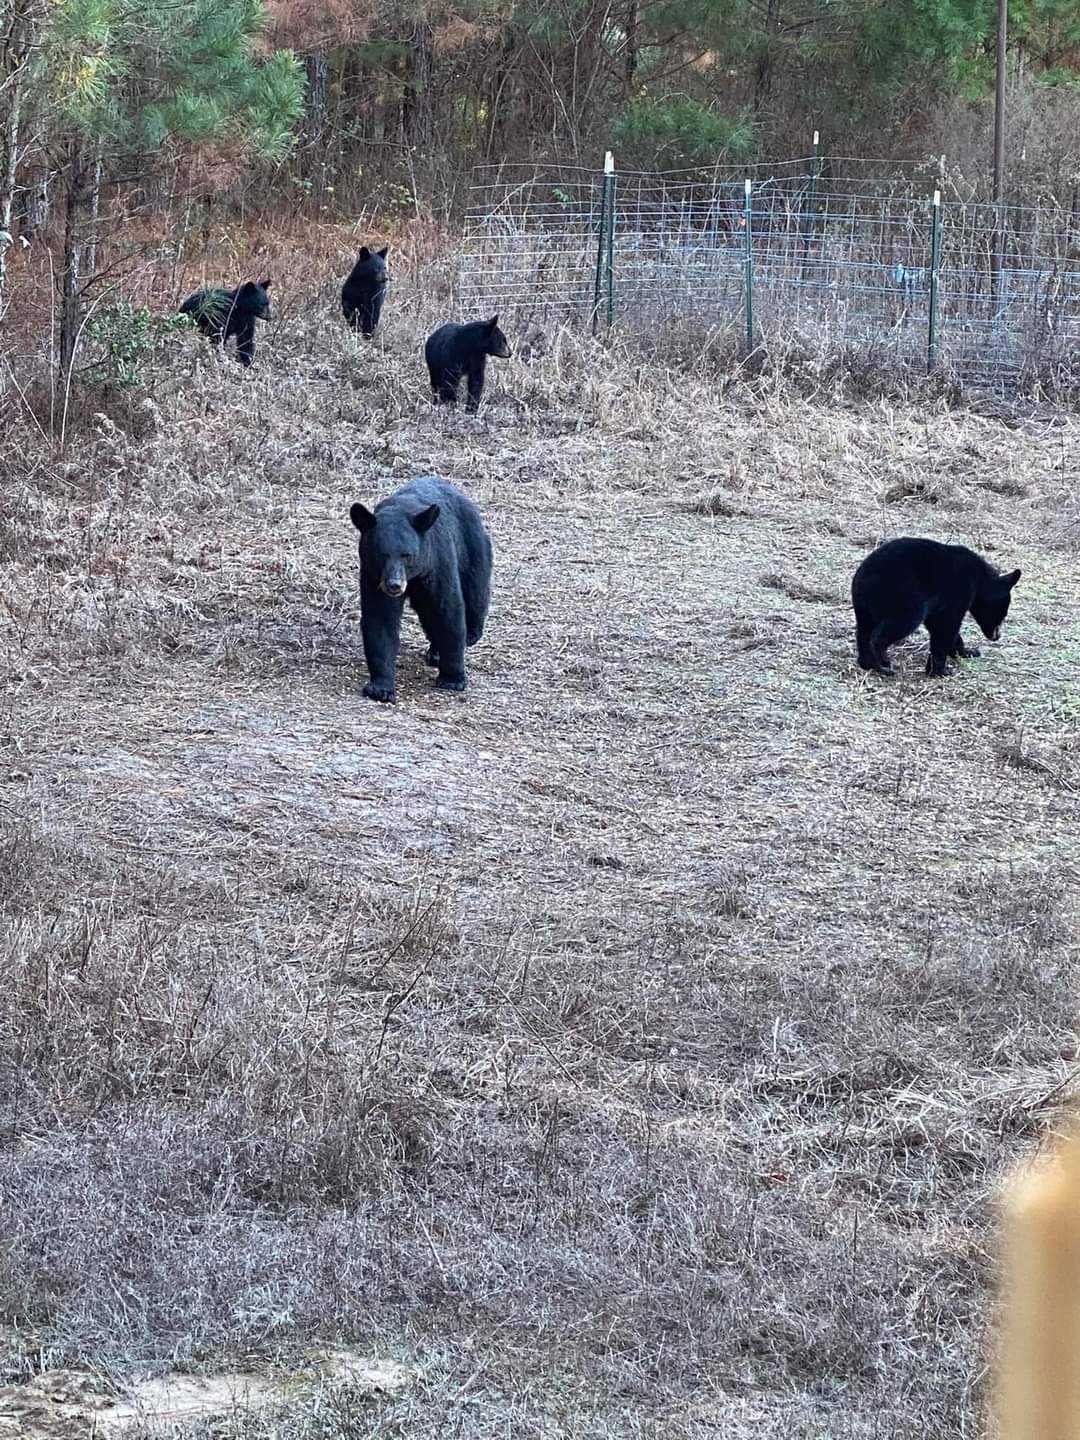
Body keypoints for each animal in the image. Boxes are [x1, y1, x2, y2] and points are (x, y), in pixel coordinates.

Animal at [349, 476, 493, 703]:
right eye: (381, 554)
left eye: (407, 555)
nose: (394, 585)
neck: (414, 575)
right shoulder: (373, 575)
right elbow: (380, 619)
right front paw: (380, 688)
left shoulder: (438, 561)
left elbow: (447, 610)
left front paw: (452, 679)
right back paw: (435, 651)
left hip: (473, 547)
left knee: (475, 593)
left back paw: (468, 636)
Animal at [851, 537, 1021, 678]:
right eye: (1002, 614)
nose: (997, 636)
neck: (979, 580)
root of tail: (863, 580)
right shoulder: (958, 593)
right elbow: (945, 627)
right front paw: (940, 671)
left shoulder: (938, 606)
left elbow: (943, 628)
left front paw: (967, 652)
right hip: (904, 599)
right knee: (894, 627)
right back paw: (883, 665)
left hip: (865, 608)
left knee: (863, 632)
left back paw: (867, 663)